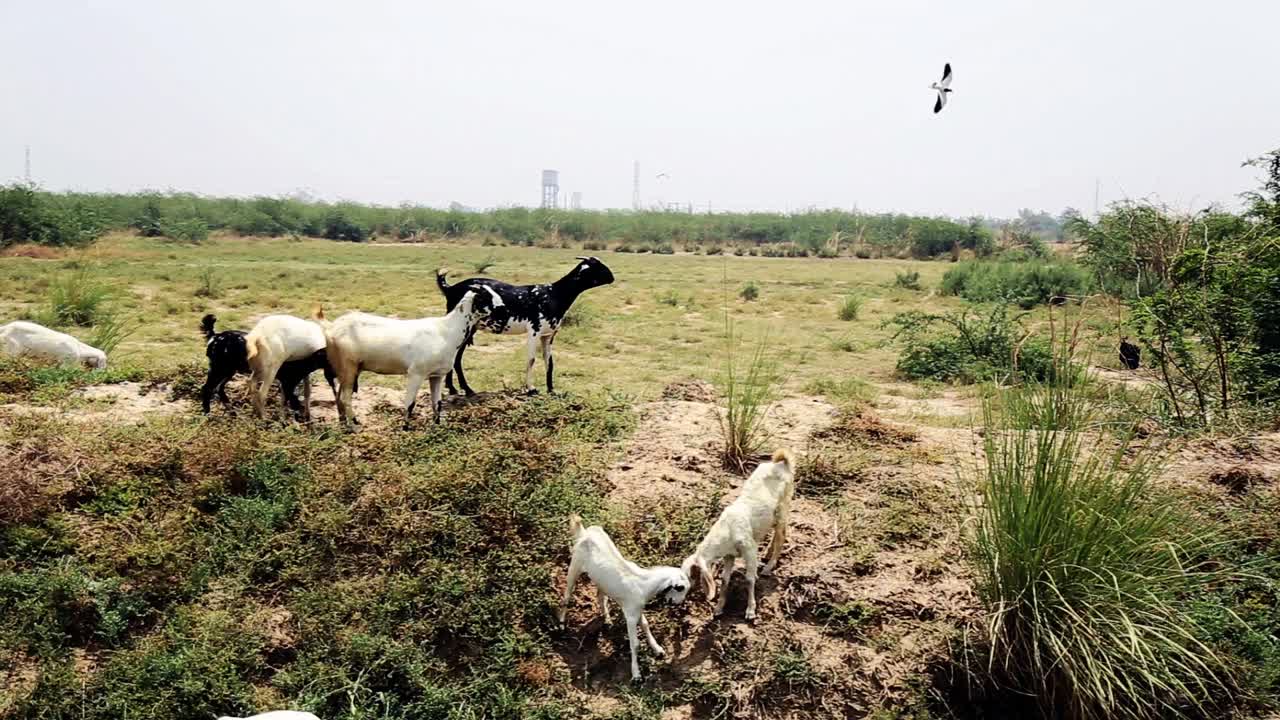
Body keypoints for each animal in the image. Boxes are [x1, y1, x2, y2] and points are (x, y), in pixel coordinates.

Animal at [198, 312, 343, 417]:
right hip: (235, 369)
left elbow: (304, 392)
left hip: (228, 370)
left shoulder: (298, 373)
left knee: (222, 388)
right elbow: (295, 394)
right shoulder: (290, 377)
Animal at [320, 286, 499, 425]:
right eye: (487, 297)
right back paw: (356, 424)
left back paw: (345, 424)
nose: (502, 311)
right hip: (348, 366)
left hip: (346, 369)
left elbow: (437, 404)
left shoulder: (437, 375)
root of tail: (332, 327)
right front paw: (405, 429)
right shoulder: (416, 373)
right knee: (345, 398)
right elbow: (410, 404)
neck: (447, 330)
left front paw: (437, 427)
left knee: (339, 397)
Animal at [435, 256, 614, 394]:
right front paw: (531, 389)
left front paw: (551, 390)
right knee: (456, 357)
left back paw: (453, 389)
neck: (554, 294)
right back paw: (466, 389)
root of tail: (450, 289)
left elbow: (549, 362)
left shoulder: (548, 335)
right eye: (598, 267)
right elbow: (531, 359)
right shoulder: (534, 330)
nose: (612, 277)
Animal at [552, 512, 686, 676]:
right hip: (575, 566)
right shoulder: (630, 615)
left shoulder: (637, 609)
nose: (678, 603)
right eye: (681, 588)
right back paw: (561, 625)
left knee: (600, 596)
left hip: (600, 580)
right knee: (567, 595)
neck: (644, 583)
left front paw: (658, 650)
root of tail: (585, 533)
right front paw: (636, 674)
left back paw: (607, 620)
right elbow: (635, 644)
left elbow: (646, 625)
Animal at [686, 445, 793, 620]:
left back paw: (768, 567)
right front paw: (718, 608)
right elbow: (724, 580)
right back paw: (767, 553)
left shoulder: (749, 549)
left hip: (783, 509)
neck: (728, 529)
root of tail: (781, 464)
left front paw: (750, 610)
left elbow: (749, 579)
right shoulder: (729, 555)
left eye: (692, 574)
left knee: (781, 537)